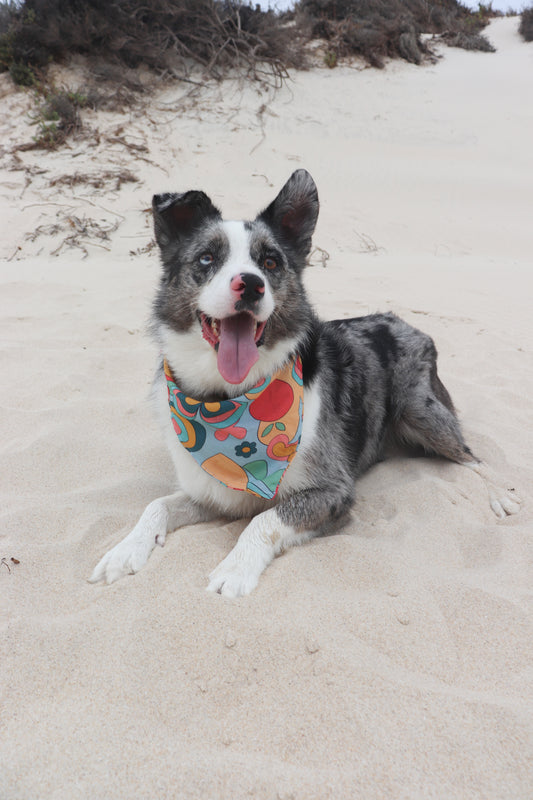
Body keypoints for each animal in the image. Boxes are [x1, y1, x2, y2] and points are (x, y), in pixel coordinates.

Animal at [88, 170, 520, 592]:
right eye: (207, 258)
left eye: (270, 262)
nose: (251, 284)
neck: (228, 400)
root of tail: (402, 321)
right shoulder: (213, 491)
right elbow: (157, 505)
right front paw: (123, 551)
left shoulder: (333, 491)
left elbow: (264, 519)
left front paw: (235, 569)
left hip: (420, 409)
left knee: (471, 456)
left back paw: (500, 496)